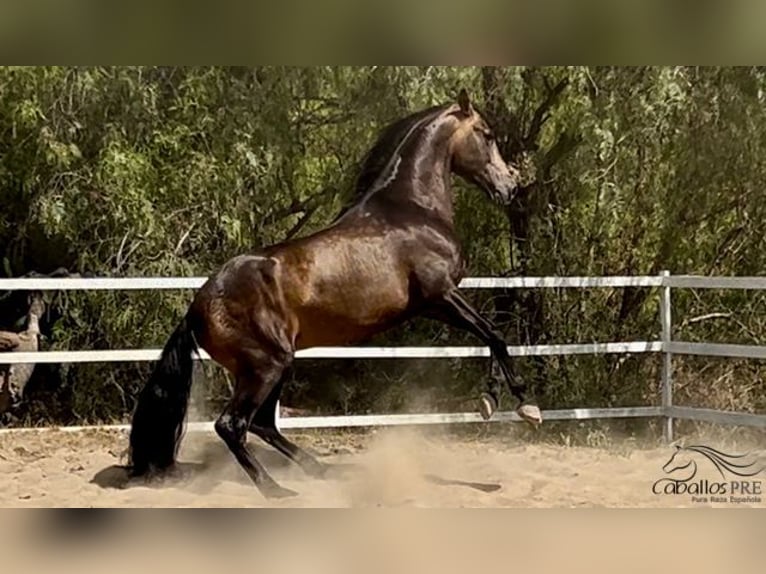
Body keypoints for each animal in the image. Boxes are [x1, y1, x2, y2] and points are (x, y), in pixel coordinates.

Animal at [129, 90, 544, 500]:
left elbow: (489, 336)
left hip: (277, 363)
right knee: (232, 425)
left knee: (262, 424)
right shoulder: (440, 295)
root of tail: (197, 306)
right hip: (266, 365)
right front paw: (527, 406)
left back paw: (319, 469)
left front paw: (490, 400)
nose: (510, 186)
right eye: (487, 134)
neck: (413, 210)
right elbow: (496, 334)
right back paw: (276, 490)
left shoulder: (435, 305)